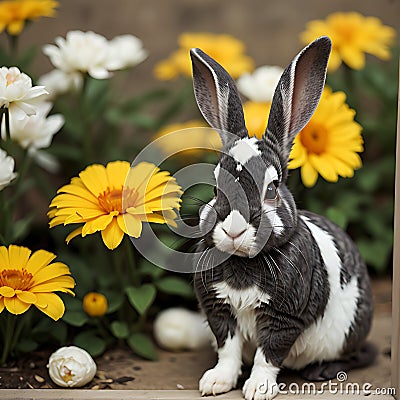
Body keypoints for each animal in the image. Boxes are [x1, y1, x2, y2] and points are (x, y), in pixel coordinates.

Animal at [189, 35, 374, 400]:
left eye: (272, 189)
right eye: (216, 186)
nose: (234, 230)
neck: (243, 264)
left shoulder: (283, 318)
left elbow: (268, 354)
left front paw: (258, 389)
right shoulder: (219, 310)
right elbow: (228, 350)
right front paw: (215, 383)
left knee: (359, 355)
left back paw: (322, 371)